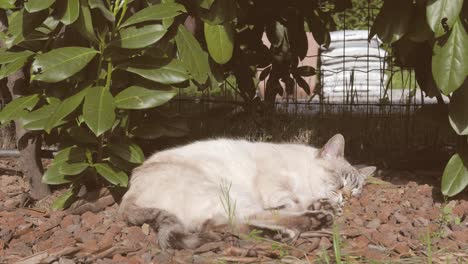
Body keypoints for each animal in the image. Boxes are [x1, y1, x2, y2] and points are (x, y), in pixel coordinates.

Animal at [119, 135, 374, 249]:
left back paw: (282, 233)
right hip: (226, 191)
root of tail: (128, 195)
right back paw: (310, 222)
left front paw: (324, 206)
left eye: (355, 192)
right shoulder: (276, 186)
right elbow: (288, 203)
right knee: (238, 219)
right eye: (340, 183)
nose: (346, 197)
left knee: (221, 224)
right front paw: (321, 207)